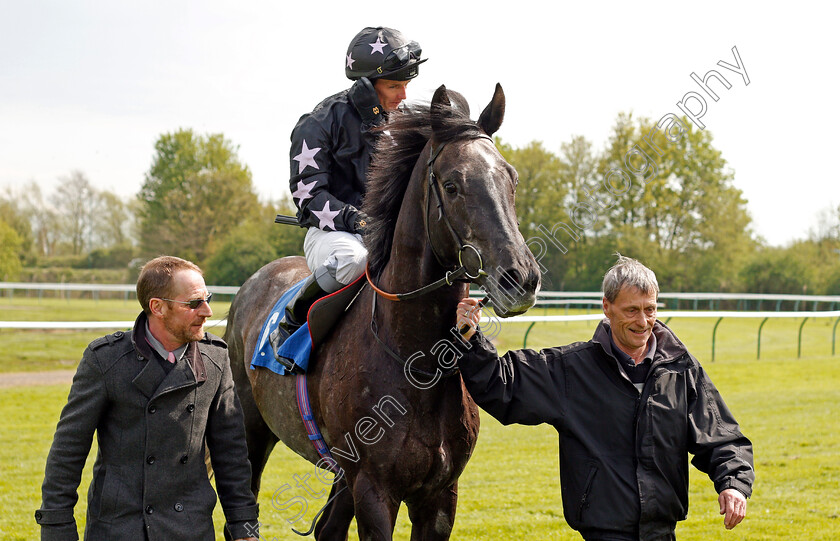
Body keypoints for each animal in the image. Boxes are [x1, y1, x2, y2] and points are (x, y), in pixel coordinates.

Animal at [223, 82, 540, 536]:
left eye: (510, 178)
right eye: (452, 185)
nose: (521, 279)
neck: (419, 363)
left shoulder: (440, 495)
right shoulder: (374, 489)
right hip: (251, 432)